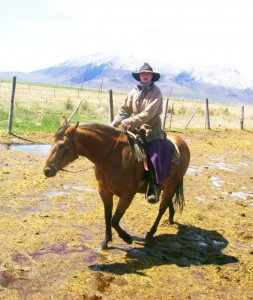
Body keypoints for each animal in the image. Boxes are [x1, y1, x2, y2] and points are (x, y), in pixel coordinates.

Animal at [43, 120, 190, 250]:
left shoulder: (127, 195)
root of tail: (182, 143)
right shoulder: (104, 191)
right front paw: (106, 241)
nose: (47, 170)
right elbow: (108, 216)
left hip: (172, 184)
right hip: (166, 186)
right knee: (168, 202)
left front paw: (127, 238)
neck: (112, 156)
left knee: (162, 208)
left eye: (62, 145)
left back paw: (150, 233)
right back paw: (170, 218)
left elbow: (114, 219)